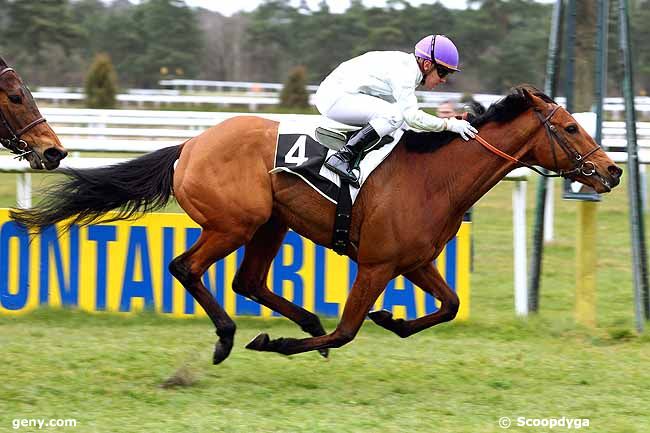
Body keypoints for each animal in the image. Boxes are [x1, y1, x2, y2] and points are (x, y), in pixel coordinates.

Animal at [8, 83, 616, 362]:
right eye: (569, 127)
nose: (611, 170)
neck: (433, 176)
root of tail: (190, 145)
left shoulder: (415, 261)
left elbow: (448, 305)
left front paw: (393, 320)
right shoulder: (376, 263)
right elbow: (348, 330)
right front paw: (279, 343)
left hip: (270, 224)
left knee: (248, 280)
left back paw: (300, 320)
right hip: (233, 224)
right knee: (186, 267)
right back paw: (231, 336)